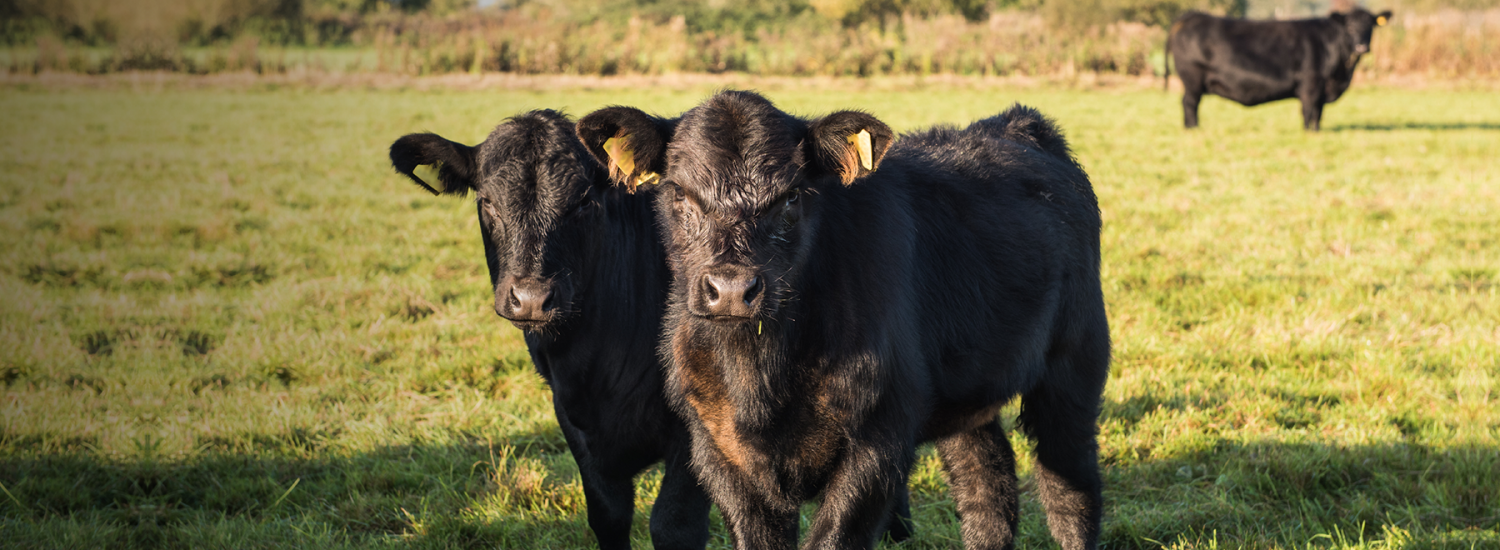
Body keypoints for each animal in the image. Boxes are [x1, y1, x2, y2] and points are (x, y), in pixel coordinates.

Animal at [387, 110, 714, 548]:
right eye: (487, 201)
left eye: (584, 201)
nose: (530, 297)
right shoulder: (573, 420)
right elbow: (609, 516)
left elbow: (674, 524)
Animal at [579, 92, 1110, 548]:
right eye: (680, 194)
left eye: (792, 196)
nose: (731, 290)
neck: (762, 376)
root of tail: (1016, 123)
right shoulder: (717, 448)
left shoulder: (878, 438)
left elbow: (833, 537)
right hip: (966, 392)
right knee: (986, 483)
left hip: (1076, 361)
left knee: (1070, 487)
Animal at [1164, 7, 1386, 130]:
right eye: (1349, 26)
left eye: (1371, 25)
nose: (1361, 46)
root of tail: (1189, 16)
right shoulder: (1311, 82)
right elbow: (1309, 110)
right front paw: (1309, 132)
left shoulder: (1322, 88)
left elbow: (1318, 112)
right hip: (1192, 79)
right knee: (1189, 103)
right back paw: (1193, 128)